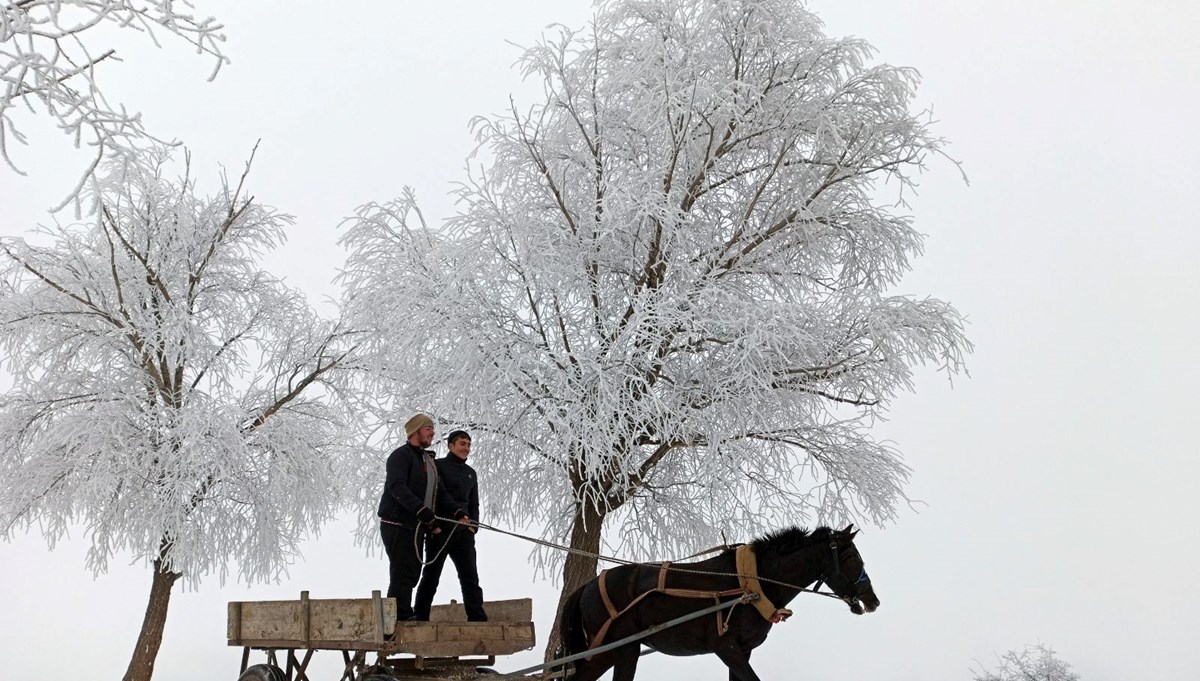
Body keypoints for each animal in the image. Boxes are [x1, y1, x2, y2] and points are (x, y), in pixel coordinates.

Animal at [556, 527, 878, 681]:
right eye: (851, 557)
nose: (872, 600)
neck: (752, 583)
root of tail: (586, 587)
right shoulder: (726, 647)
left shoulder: (744, 650)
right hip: (624, 649)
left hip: (608, 652)